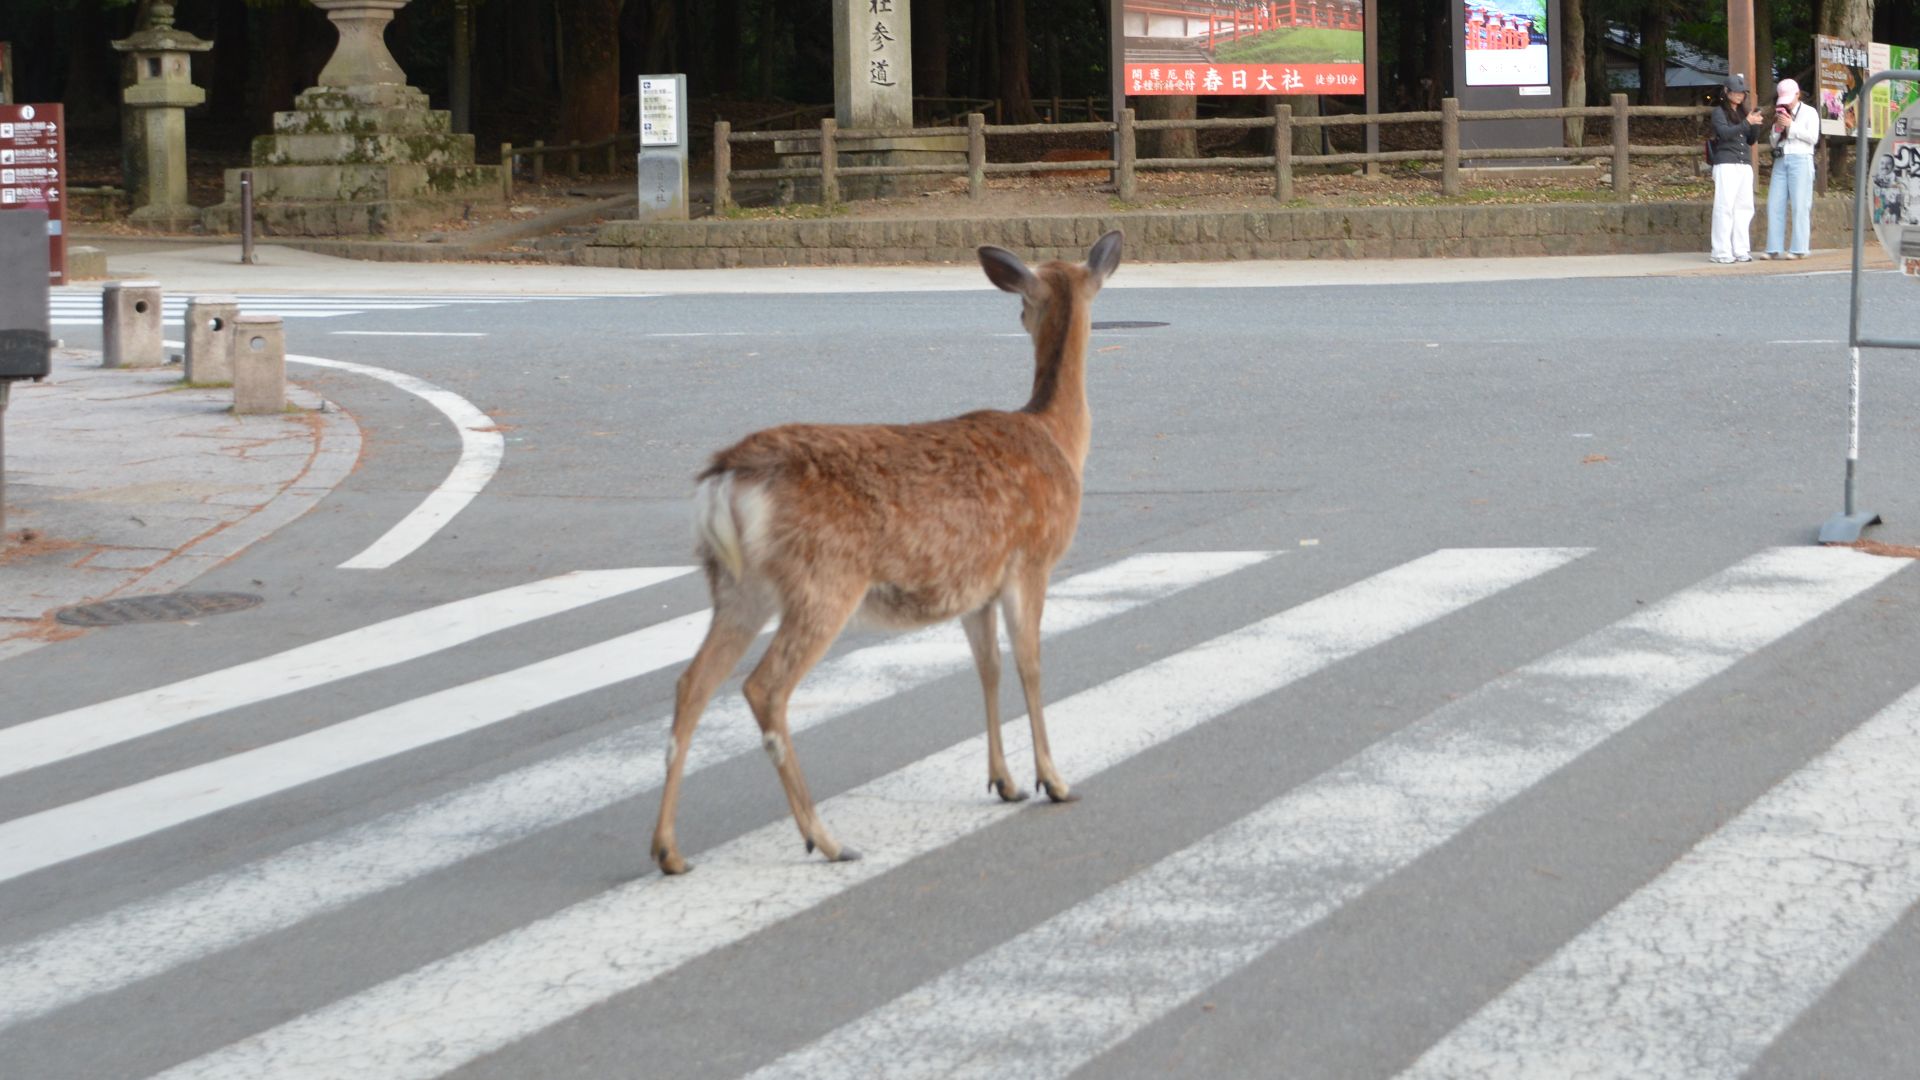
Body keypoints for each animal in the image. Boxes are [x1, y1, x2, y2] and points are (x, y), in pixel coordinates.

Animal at [649, 230, 1124, 875]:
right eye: (1022, 305)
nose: (1018, 317)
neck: (1057, 438)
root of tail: (724, 479)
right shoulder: (1032, 560)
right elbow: (1030, 665)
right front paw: (1053, 780)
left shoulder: (976, 586)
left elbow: (989, 668)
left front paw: (1003, 782)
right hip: (824, 581)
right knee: (763, 688)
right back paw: (826, 839)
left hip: (735, 586)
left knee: (691, 683)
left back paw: (669, 850)